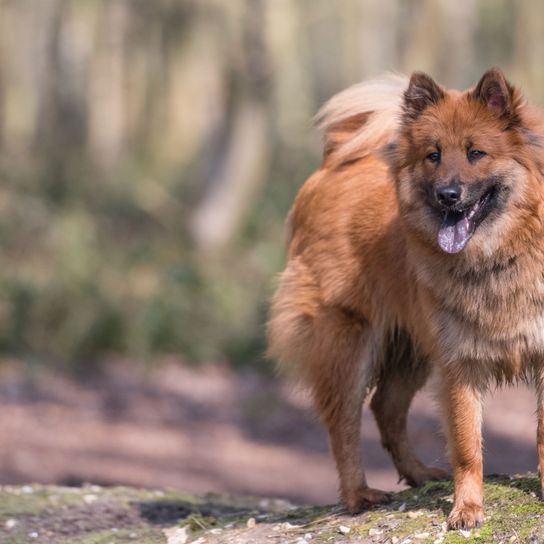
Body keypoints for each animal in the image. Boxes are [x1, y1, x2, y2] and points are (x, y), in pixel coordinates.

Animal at [268, 69, 544, 532]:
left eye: (476, 152)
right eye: (433, 155)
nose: (447, 194)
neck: (497, 256)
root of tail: (333, 166)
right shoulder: (457, 364)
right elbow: (467, 445)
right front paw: (467, 509)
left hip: (409, 349)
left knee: (387, 408)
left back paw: (418, 474)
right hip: (350, 343)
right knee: (343, 423)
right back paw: (359, 494)